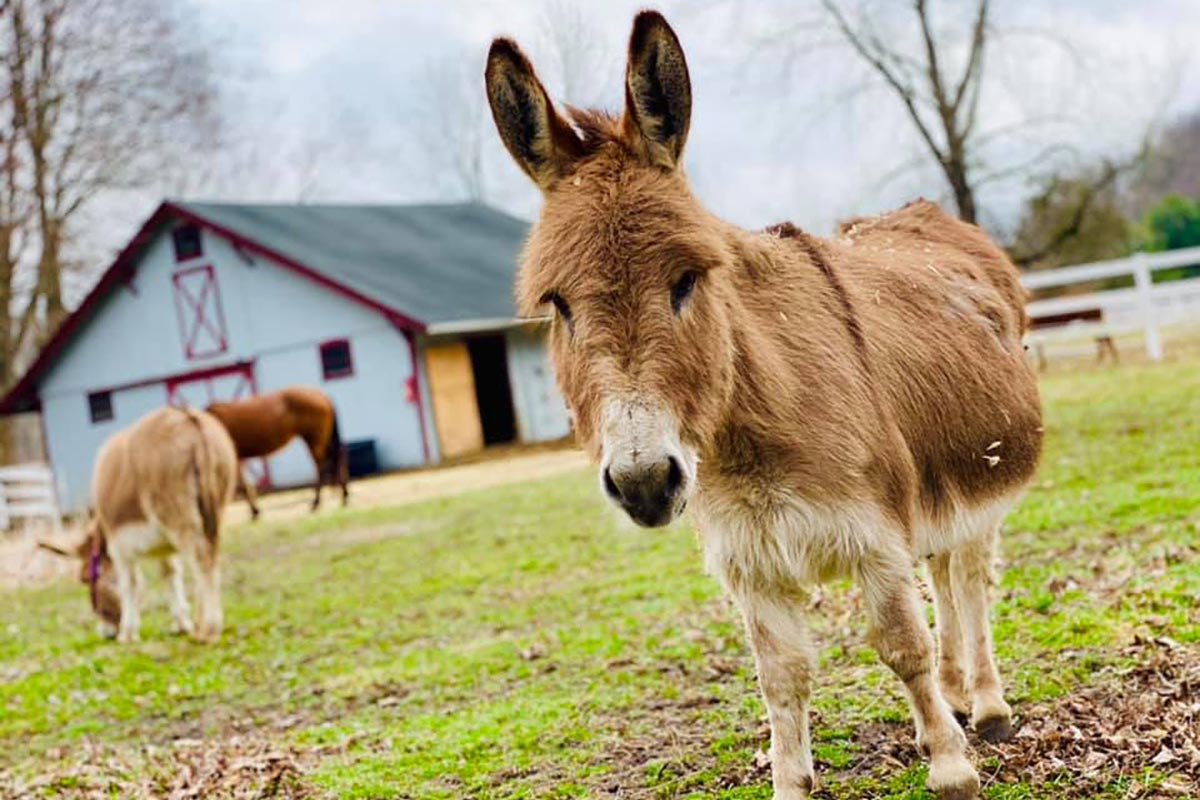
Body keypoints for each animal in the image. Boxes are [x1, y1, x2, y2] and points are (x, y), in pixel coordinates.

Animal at [39, 406, 238, 643]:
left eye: (85, 579)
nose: (106, 633)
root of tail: (185, 415)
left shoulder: (118, 548)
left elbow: (129, 583)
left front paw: (128, 633)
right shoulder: (163, 548)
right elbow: (170, 574)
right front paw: (181, 623)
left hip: (177, 511)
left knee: (201, 559)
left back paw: (208, 628)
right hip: (213, 508)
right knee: (210, 557)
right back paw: (202, 625)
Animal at [204, 386, 349, 519]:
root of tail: (323, 396)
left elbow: (242, 486)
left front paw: (255, 511)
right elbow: (245, 484)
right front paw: (255, 510)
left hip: (314, 440)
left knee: (321, 467)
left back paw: (316, 502)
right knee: (338, 456)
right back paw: (344, 495)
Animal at [484, 12, 1042, 800]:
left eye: (689, 278)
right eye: (557, 305)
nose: (643, 483)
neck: (747, 446)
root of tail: (926, 212)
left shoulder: (875, 537)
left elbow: (902, 646)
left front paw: (951, 766)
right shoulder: (749, 562)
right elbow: (782, 678)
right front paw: (794, 777)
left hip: (981, 476)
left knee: (967, 581)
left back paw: (986, 707)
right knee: (943, 575)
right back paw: (959, 693)